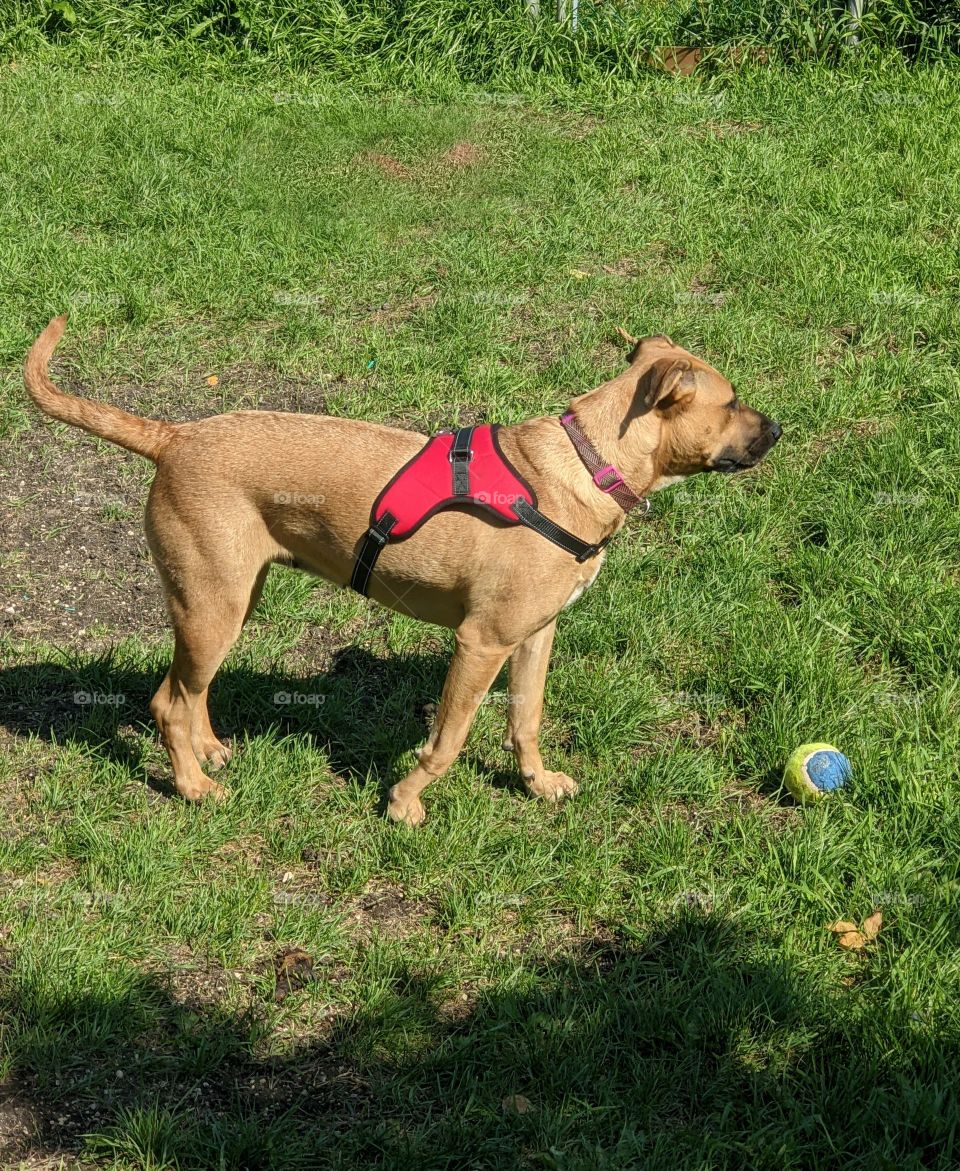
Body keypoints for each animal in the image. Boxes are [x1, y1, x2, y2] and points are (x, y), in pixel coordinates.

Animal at [22, 313, 782, 824]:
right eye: (730, 402)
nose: (778, 429)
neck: (586, 465)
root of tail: (174, 436)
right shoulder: (480, 642)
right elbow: (448, 738)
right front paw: (405, 800)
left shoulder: (535, 636)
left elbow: (527, 719)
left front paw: (537, 783)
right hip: (214, 604)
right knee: (167, 701)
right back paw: (191, 787)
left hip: (229, 599)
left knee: (186, 689)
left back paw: (208, 751)